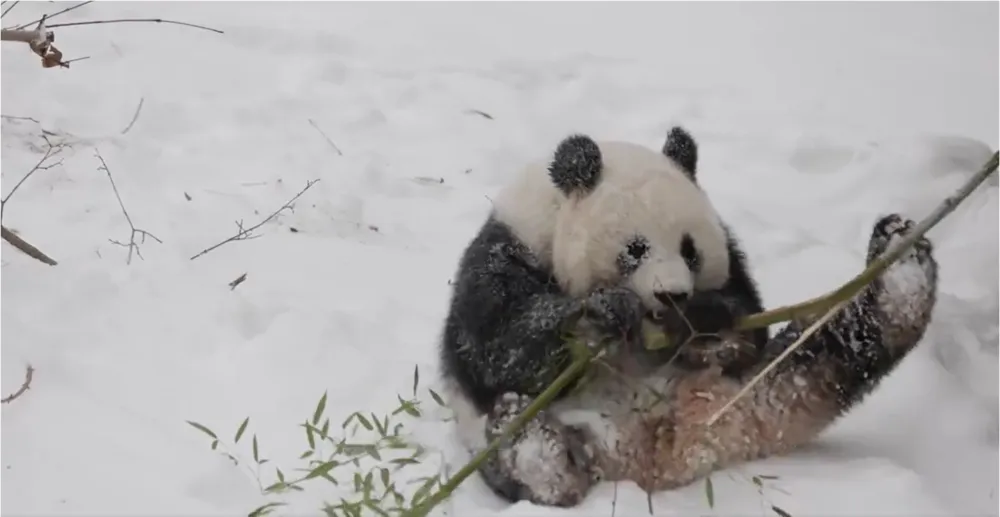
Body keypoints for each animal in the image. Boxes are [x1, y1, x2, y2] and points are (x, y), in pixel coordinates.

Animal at [438, 127, 936, 506]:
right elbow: (500, 349)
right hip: (567, 436)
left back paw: (900, 263)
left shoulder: (731, 259)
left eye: (690, 250)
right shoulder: (506, 250)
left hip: (758, 387)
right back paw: (530, 446)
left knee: (829, 350)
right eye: (635, 249)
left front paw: (701, 319)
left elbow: (746, 318)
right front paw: (601, 314)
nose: (672, 296)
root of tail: (674, 448)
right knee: (536, 471)